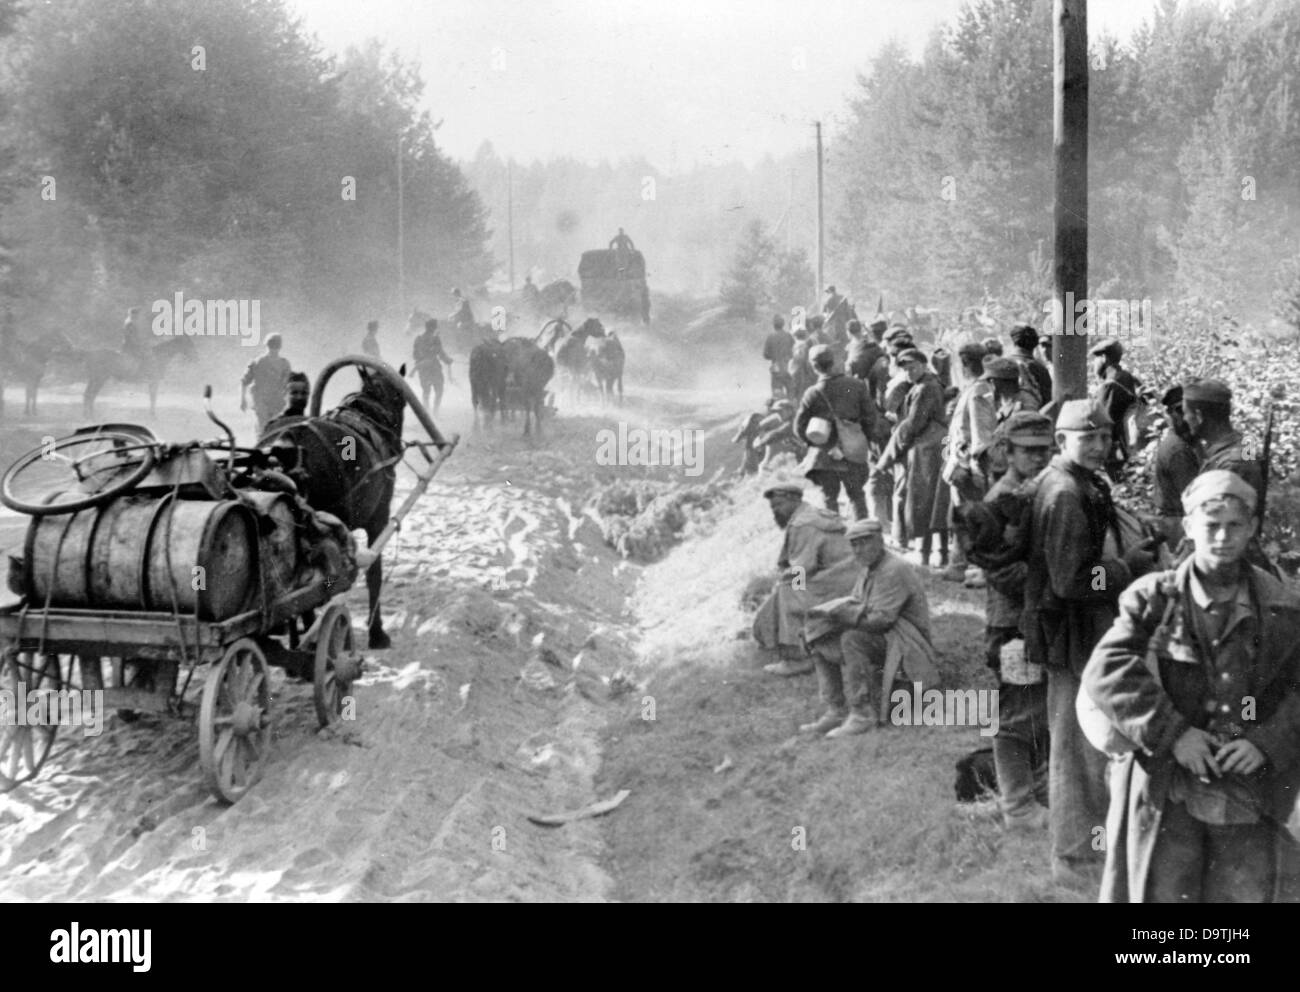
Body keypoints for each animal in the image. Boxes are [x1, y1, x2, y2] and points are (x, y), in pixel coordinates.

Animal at [0, 358, 457, 806]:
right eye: (398, 397)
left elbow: (304, 595)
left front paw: (300, 644)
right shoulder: (378, 517)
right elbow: (367, 578)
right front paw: (373, 637)